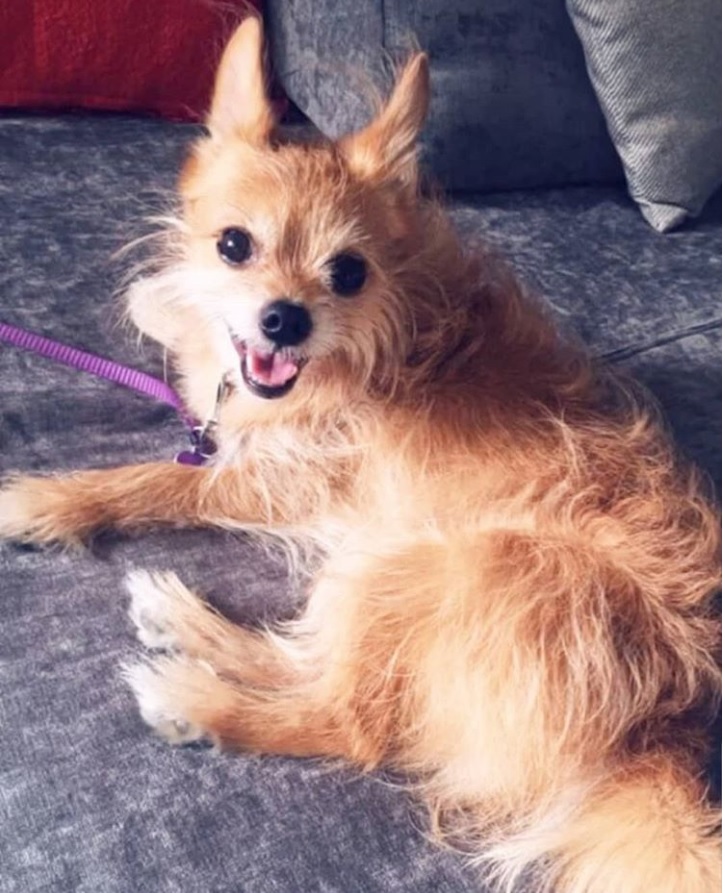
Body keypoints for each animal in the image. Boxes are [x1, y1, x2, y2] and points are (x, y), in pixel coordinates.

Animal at [0, 17, 720, 892]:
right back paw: (182, 622)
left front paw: (48, 499)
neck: (384, 332)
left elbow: (161, 480)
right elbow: (184, 337)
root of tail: (658, 731)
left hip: (422, 565)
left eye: (347, 272)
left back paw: (194, 694)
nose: (283, 319)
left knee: (348, 720)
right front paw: (170, 304)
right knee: (307, 663)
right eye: (233, 245)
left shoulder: (274, 480)